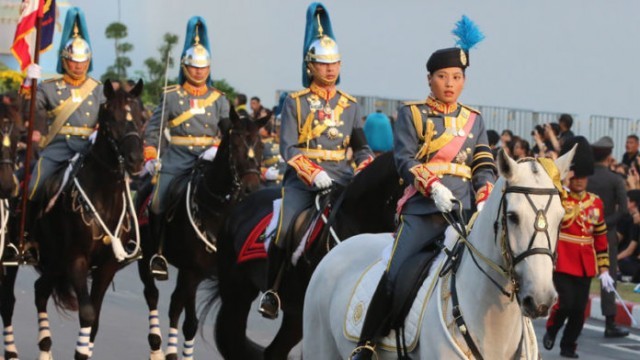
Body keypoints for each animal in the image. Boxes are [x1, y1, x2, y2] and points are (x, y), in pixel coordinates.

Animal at [31, 81, 145, 360]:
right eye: (110, 118)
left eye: (141, 117)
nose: (137, 160)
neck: (105, 200)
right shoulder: (76, 259)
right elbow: (87, 313)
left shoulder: (107, 266)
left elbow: (95, 321)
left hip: (54, 261)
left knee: (40, 290)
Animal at [138, 107, 268, 360]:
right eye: (235, 145)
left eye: (260, 147)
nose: (252, 188)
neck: (215, 208)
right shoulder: (193, 271)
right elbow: (189, 320)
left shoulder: (212, 275)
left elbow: (189, 318)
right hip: (147, 257)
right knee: (152, 294)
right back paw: (157, 346)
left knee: (174, 303)